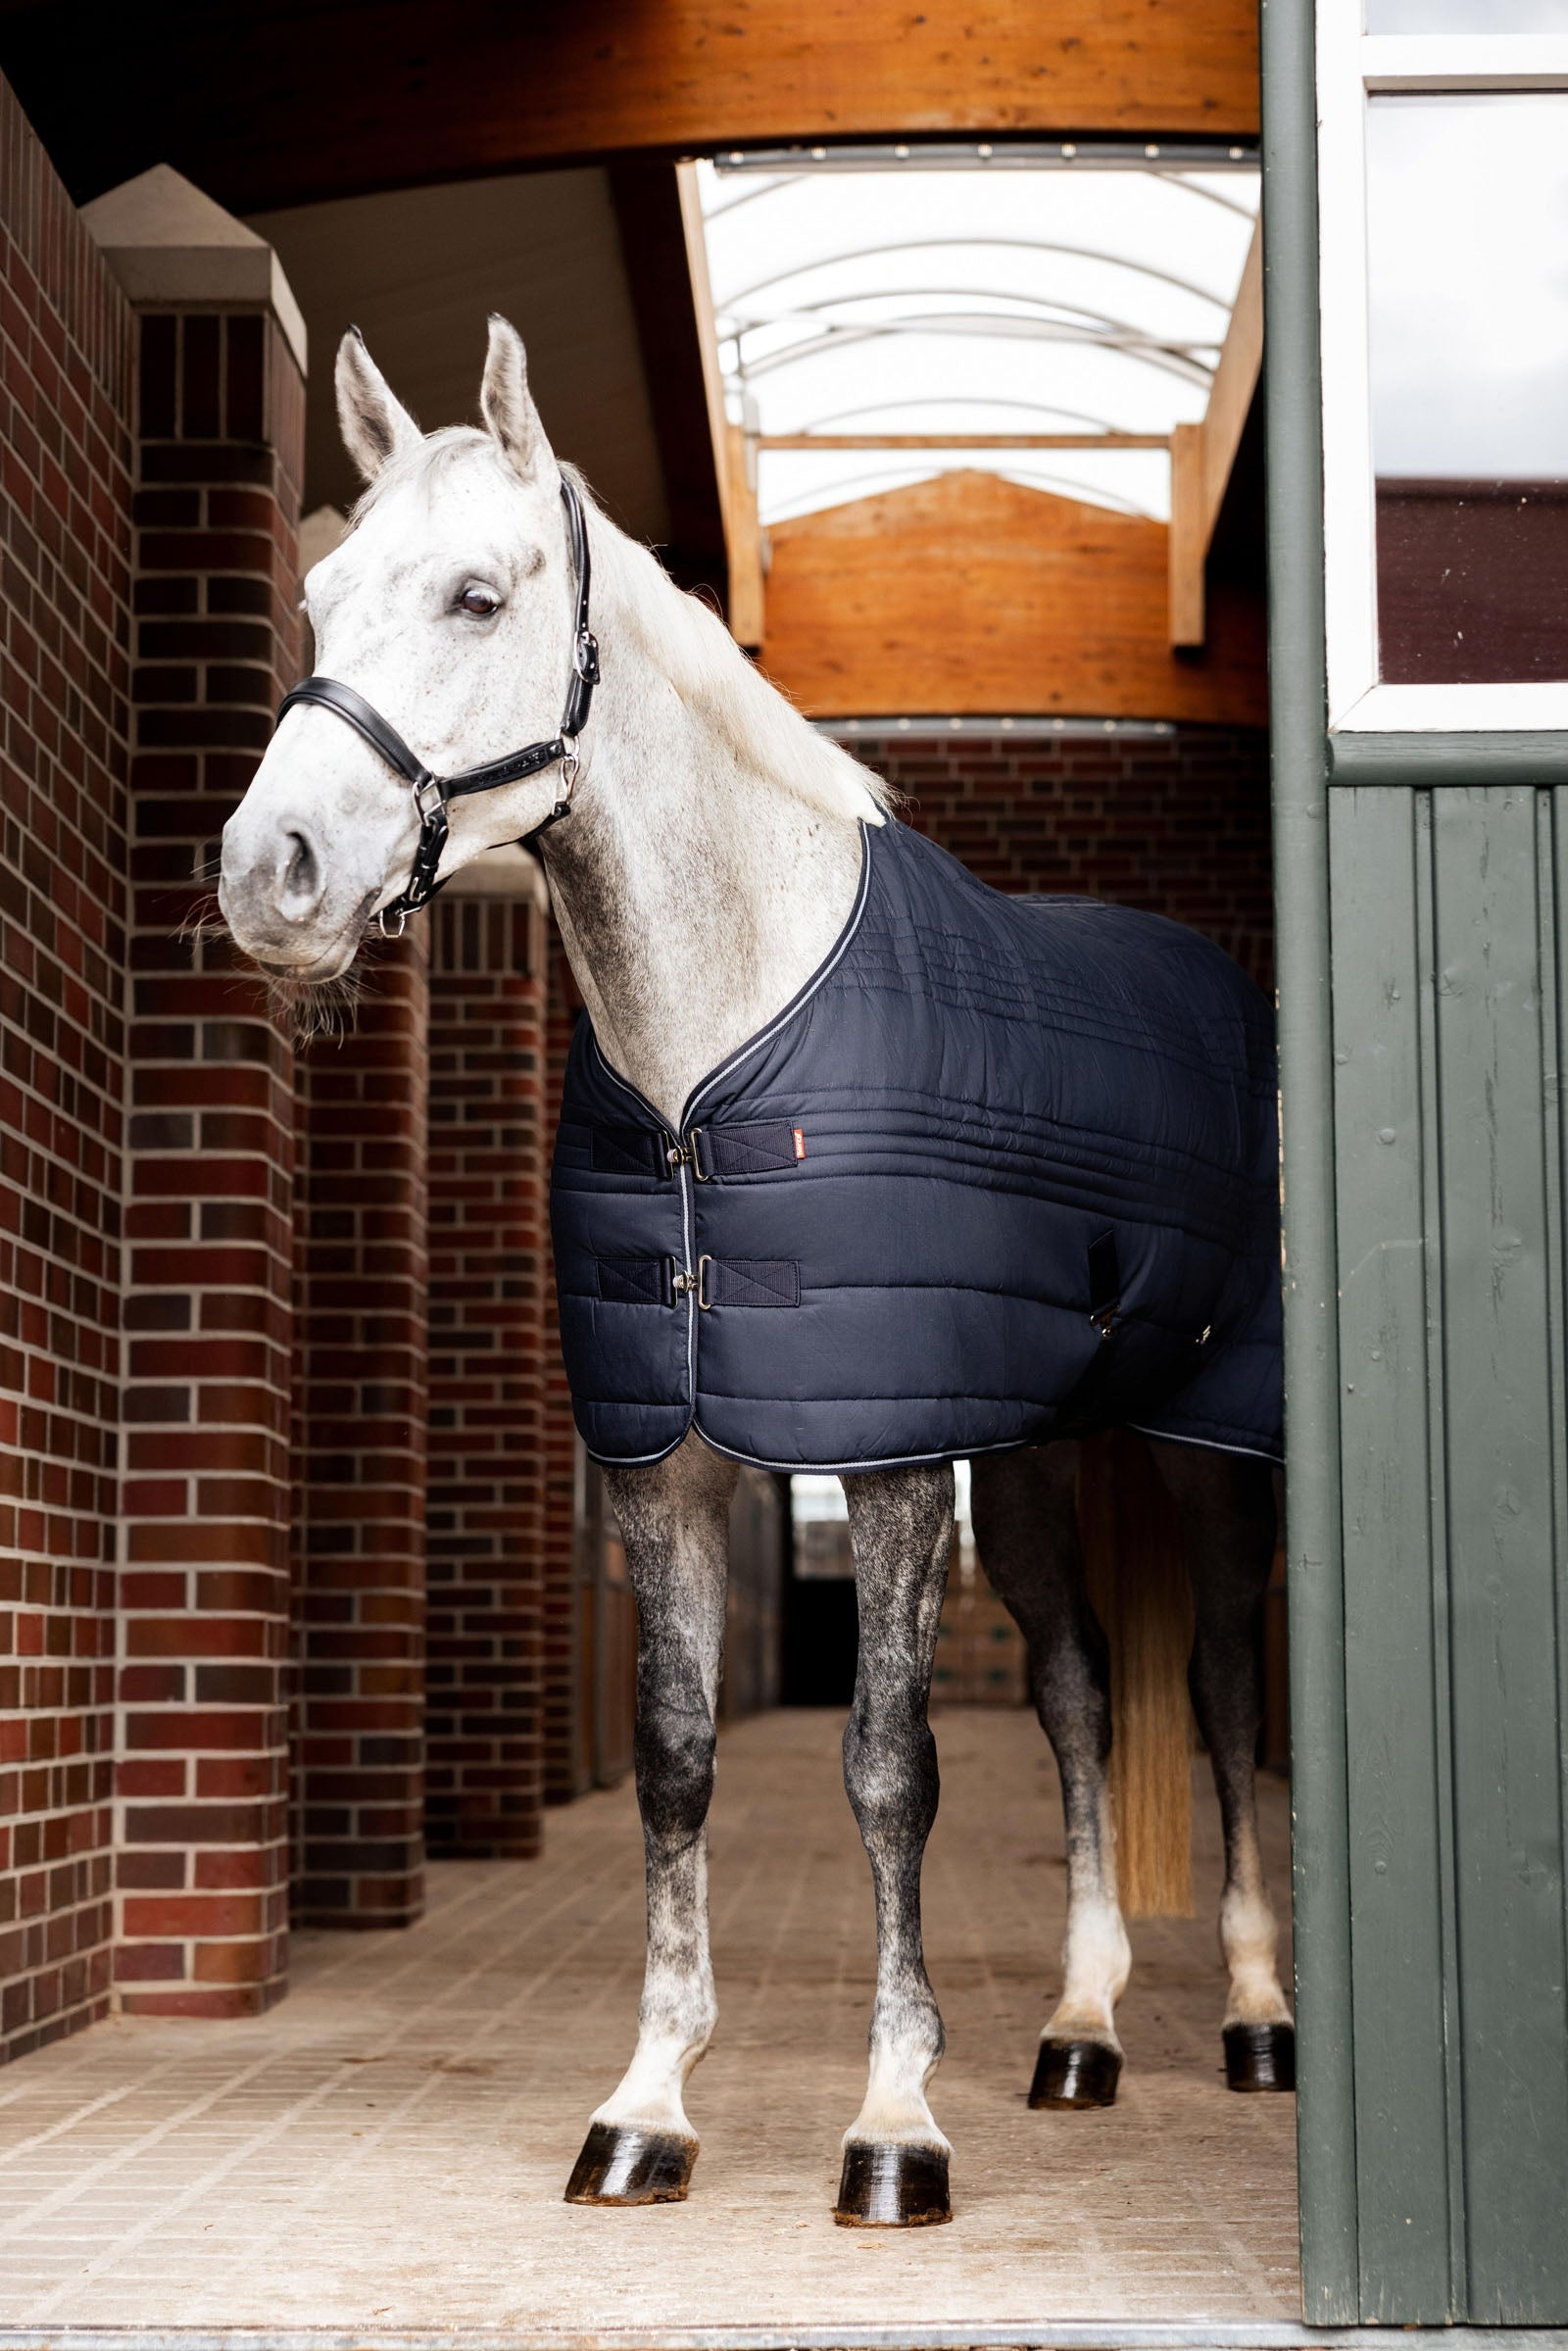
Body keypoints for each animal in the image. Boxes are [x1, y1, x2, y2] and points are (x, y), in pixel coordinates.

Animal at [220, 316, 1295, 2230]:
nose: (270, 877)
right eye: (321, 593)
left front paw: (895, 2121)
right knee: (1083, 1690)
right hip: (1036, 1456)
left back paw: (1250, 2010)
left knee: (1228, 1686)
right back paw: (1083, 2026)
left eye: (478, 595)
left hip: (1206, 1445)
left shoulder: (883, 1461)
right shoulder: (669, 1461)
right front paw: (648, 2101)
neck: (714, 1059)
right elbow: (675, 1756)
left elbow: (888, 1765)